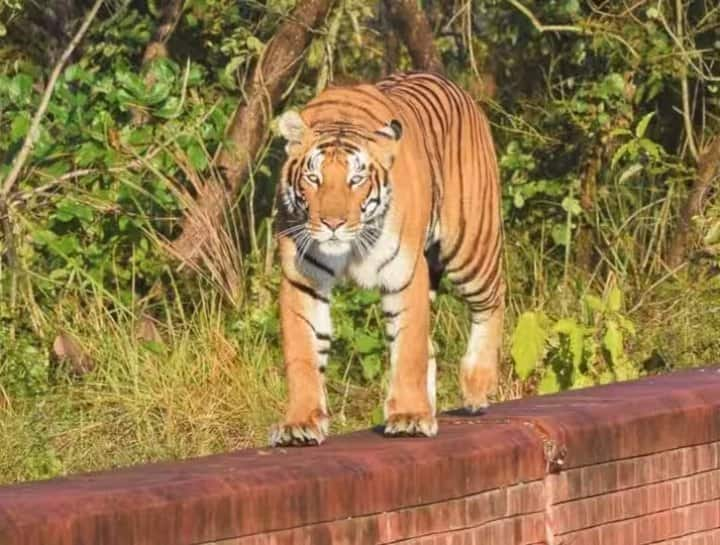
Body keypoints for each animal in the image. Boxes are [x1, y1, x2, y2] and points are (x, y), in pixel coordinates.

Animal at [268, 71, 504, 446]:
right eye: (313, 178)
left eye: (356, 179)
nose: (332, 223)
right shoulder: (302, 279)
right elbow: (303, 353)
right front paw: (300, 423)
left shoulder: (404, 274)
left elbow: (408, 349)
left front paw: (409, 417)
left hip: (471, 247)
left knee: (492, 302)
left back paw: (476, 386)